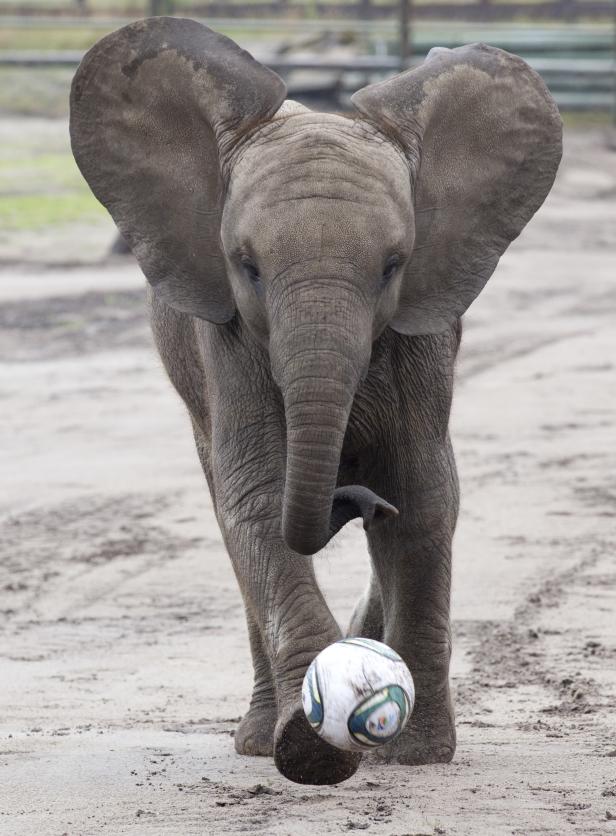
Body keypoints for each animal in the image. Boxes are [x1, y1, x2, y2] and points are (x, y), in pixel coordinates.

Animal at [70, 21, 560, 792]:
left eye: (393, 266)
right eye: (246, 266)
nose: (353, 501)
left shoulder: (422, 333)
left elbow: (423, 495)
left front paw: (416, 755)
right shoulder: (227, 339)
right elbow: (258, 499)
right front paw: (309, 749)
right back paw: (255, 736)